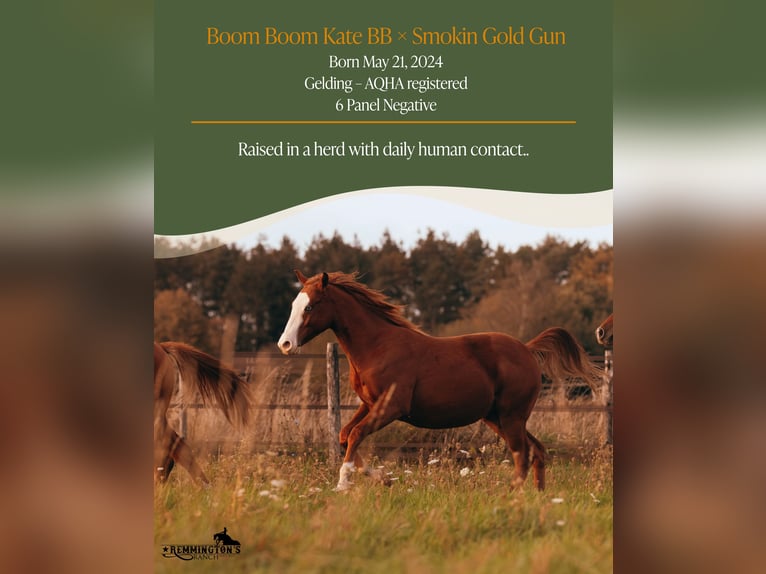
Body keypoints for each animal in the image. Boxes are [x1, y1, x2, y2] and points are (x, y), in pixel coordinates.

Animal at [277, 271, 601, 491]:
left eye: (310, 307)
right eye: (293, 304)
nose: (285, 344)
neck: (378, 346)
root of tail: (527, 348)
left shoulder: (391, 406)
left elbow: (355, 435)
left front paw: (343, 484)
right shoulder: (369, 404)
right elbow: (345, 435)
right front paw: (384, 478)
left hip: (511, 416)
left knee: (522, 454)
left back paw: (513, 496)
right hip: (498, 417)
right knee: (536, 450)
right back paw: (540, 496)